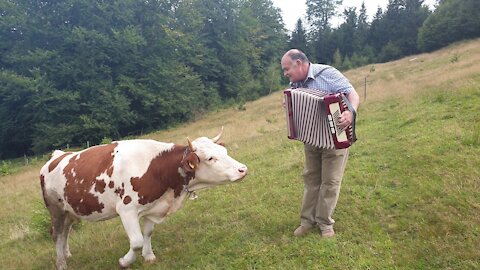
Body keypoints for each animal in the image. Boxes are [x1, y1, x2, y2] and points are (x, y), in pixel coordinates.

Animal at [39, 130, 248, 268]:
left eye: (225, 152)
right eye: (211, 158)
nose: (243, 169)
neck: (158, 169)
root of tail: (58, 156)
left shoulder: (153, 206)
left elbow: (147, 233)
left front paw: (149, 257)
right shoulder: (126, 210)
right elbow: (136, 241)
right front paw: (125, 261)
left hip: (70, 211)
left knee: (65, 232)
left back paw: (67, 254)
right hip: (55, 209)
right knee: (56, 233)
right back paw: (61, 263)